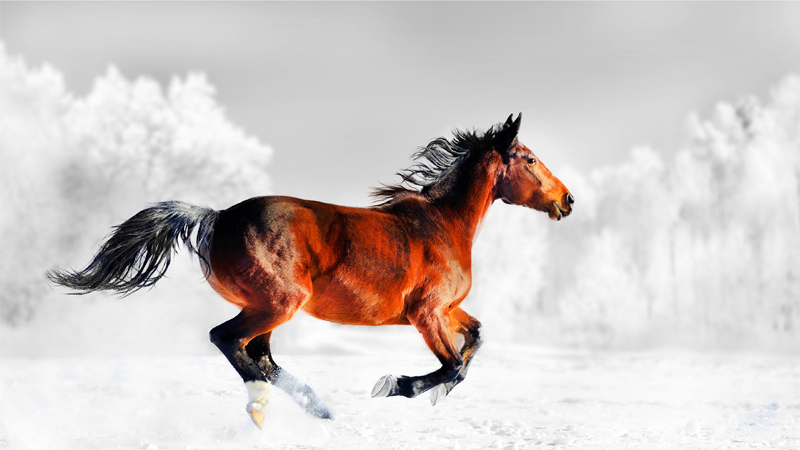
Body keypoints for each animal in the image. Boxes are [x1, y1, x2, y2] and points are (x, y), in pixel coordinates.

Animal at [48, 113, 574, 428]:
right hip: (278, 303)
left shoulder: (446, 310)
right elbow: (452, 366)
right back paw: (267, 405)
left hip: (266, 307)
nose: (567, 200)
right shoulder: (426, 313)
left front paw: (430, 394)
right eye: (529, 159)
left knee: (259, 355)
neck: (442, 224)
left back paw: (316, 408)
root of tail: (217, 217)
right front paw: (396, 386)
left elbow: (474, 341)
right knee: (229, 341)